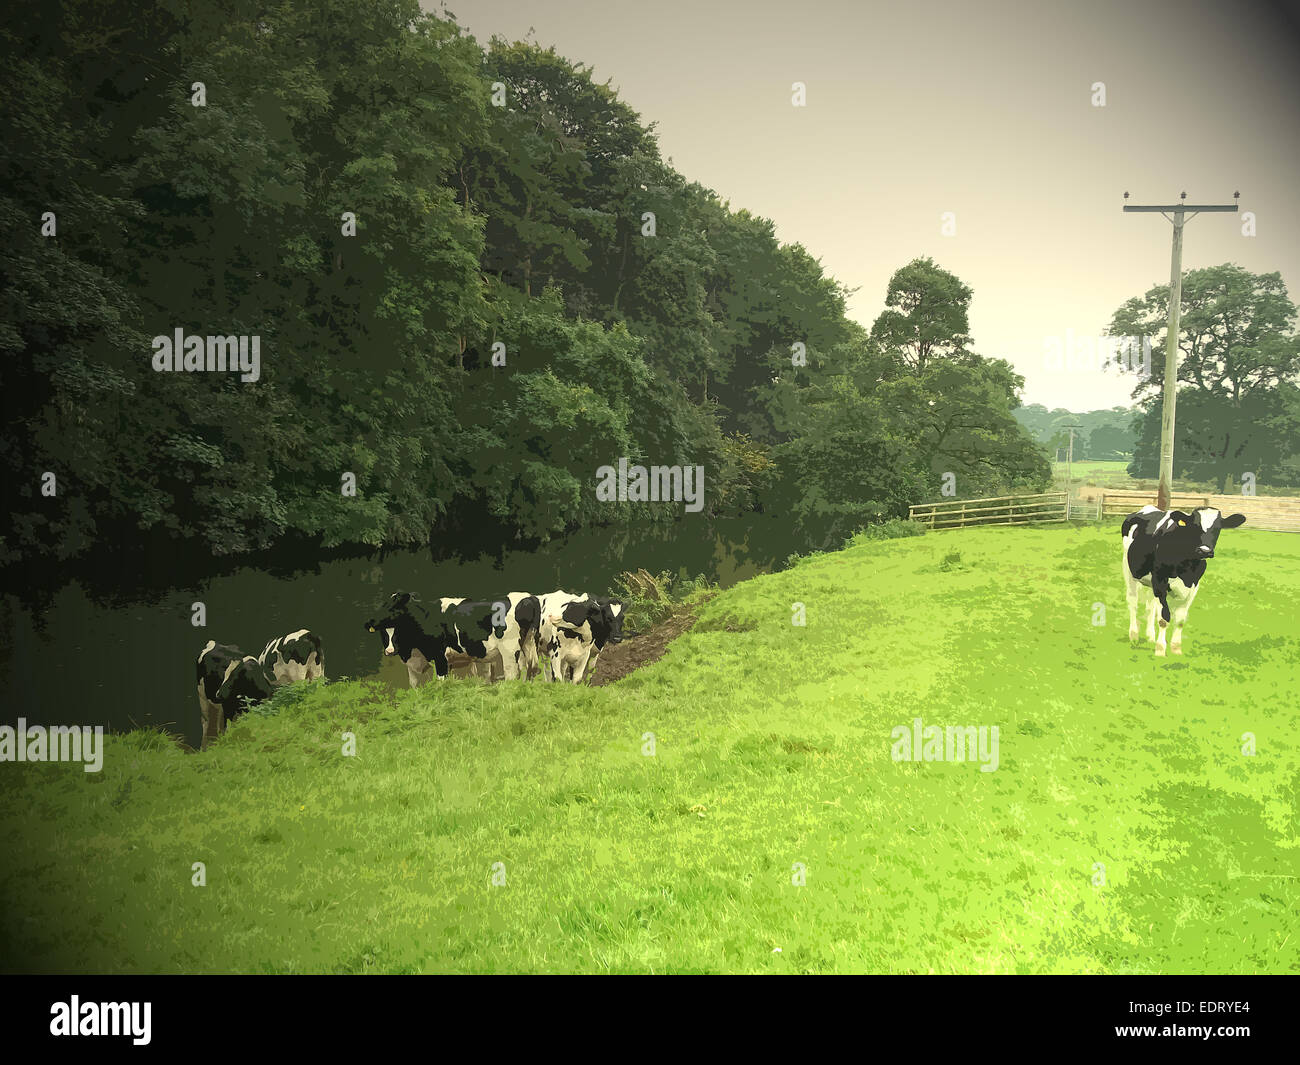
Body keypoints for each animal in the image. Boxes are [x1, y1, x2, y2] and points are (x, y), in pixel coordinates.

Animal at [366, 587, 543, 686]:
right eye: (384, 634)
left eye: (393, 607)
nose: (370, 621)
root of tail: (529, 597)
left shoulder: (439, 657)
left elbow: (441, 683)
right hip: (529, 643)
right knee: (530, 668)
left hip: (509, 650)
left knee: (512, 674)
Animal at [1118, 504, 1248, 652]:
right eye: (1195, 526)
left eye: (1218, 528)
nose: (1204, 551)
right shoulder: (1160, 581)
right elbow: (1164, 617)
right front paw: (1160, 649)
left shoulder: (1193, 586)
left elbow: (1180, 619)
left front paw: (1175, 648)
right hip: (1128, 569)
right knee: (1133, 601)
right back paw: (1134, 635)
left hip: (1150, 582)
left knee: (1150, 606)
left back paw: (1150, 636)